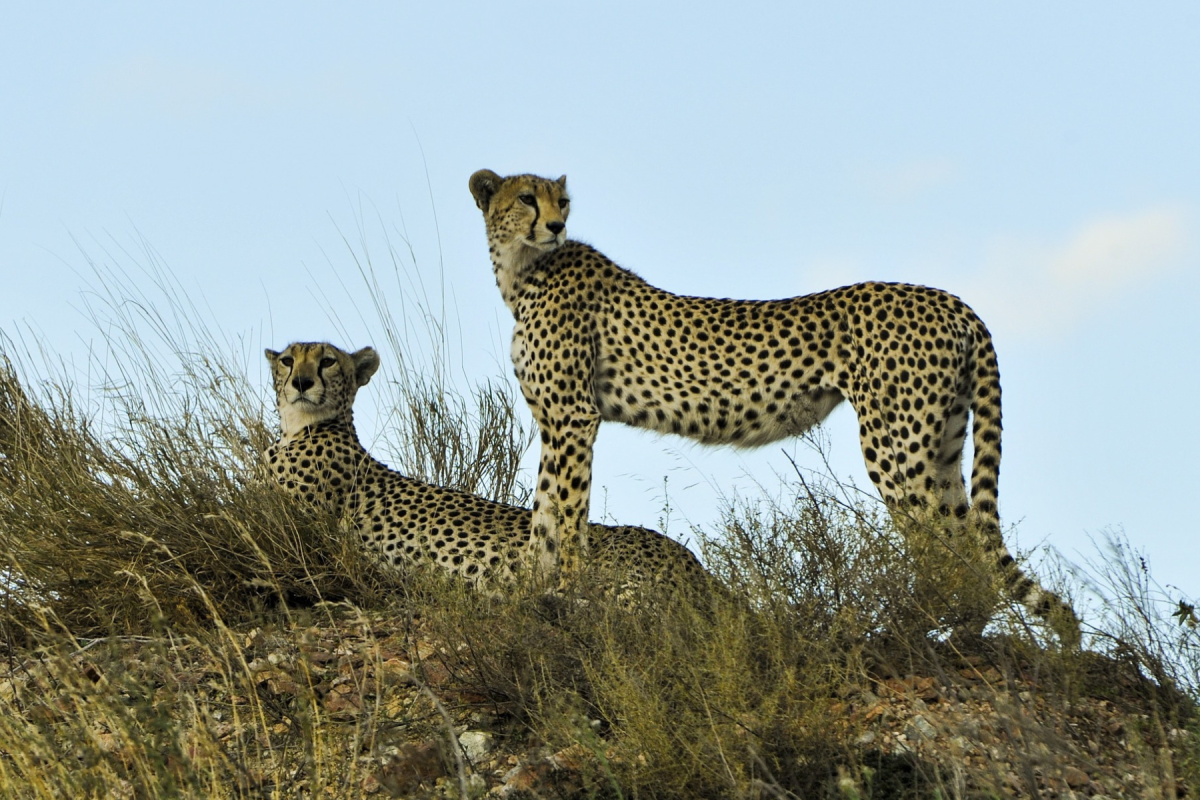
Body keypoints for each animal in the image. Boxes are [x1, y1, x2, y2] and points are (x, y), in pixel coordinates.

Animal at [472, 169, 1084, 642]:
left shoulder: (575, 417)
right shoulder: (554, 421)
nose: (556, 226)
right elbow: (544, 512)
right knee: (967, 544)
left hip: (896, 441)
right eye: (526, 198)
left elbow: (568, 511)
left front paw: (564, 592)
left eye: (561, 201)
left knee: (941, 545)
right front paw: (530, 591)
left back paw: (907, 630)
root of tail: (953, 299)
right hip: (944, 439)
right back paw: (960, 631)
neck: (522, 270)